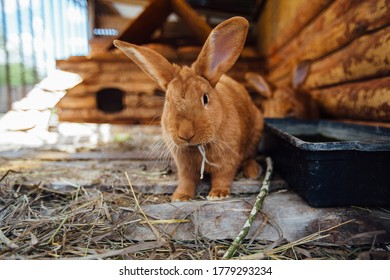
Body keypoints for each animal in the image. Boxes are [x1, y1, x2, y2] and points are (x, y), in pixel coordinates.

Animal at [114, 17, 264, 201]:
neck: (197, 146)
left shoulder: (227, 160)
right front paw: (180, 196)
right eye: (168, 101)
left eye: (205, 98)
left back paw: (253, 172)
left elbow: (223, 177)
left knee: (250, 156)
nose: (186, 134)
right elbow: (187, 180)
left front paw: (218, 194)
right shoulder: (184, 166)